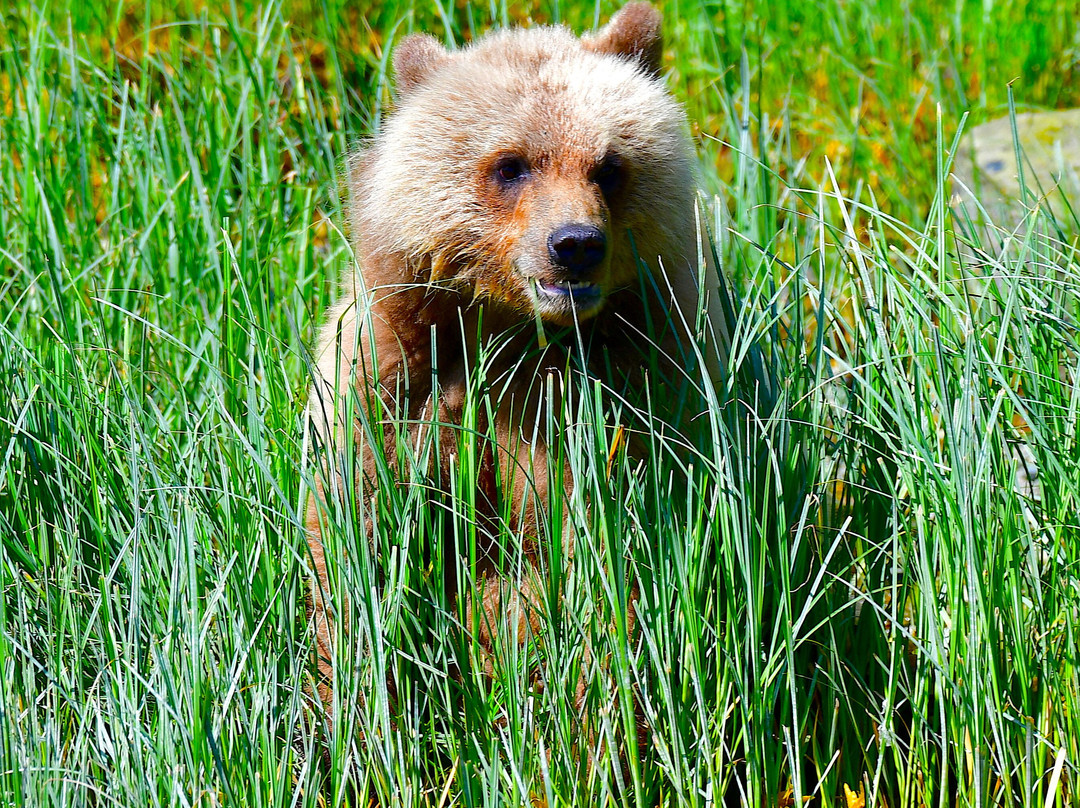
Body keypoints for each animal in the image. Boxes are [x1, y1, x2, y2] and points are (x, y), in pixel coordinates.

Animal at [305, 1, 723, 733]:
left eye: (608, 165)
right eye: (512, 164)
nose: (575, 244)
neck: (514, 332)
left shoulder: (635, 394)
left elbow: (599, 566)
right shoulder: (395, 389)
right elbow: (359, 552)